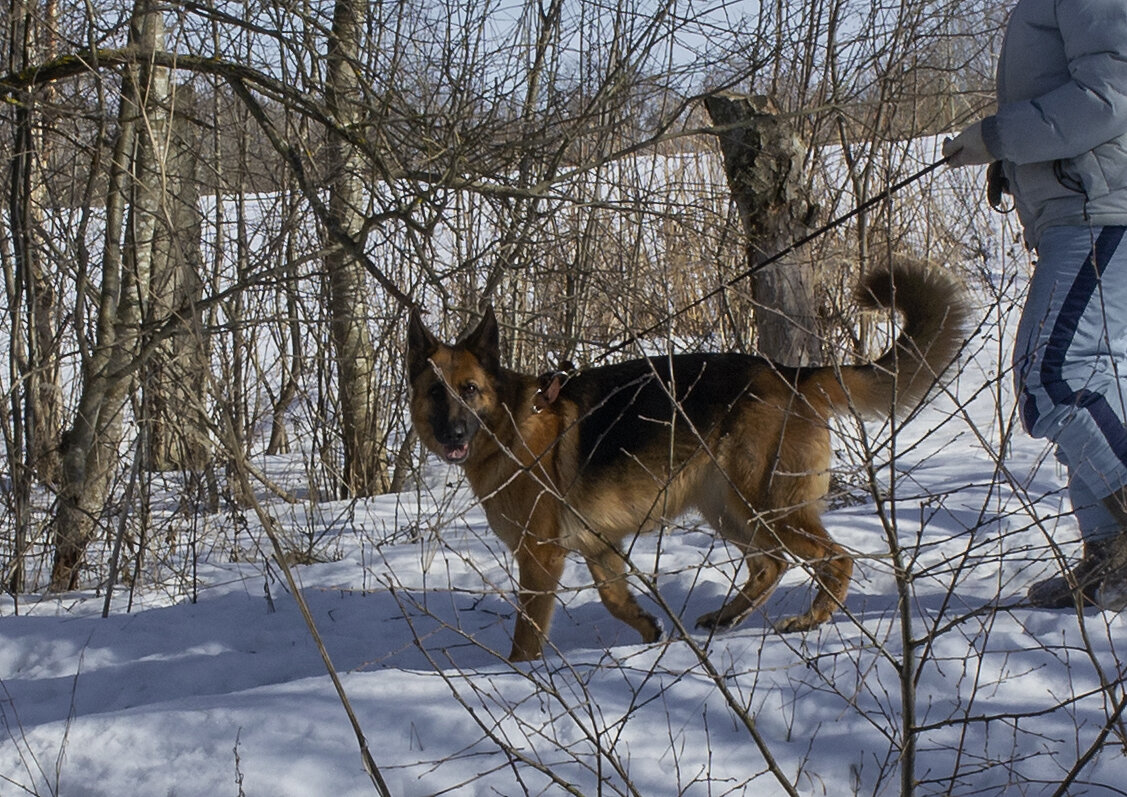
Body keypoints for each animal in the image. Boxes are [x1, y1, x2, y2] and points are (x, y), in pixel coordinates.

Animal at [410, 260, 964, 662]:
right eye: (435, 393)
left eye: (469, 390)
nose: (453, 434)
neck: (507, 425)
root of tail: (792, 375)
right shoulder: (599, 543)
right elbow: (614, 597)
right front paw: (646, 627)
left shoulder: (541, 559)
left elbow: (527, 636)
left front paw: (518, 677)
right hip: (731, 510)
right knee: (771, 563)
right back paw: (728, 617)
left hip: (765, 507)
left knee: (834, 557)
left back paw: (812, 620)